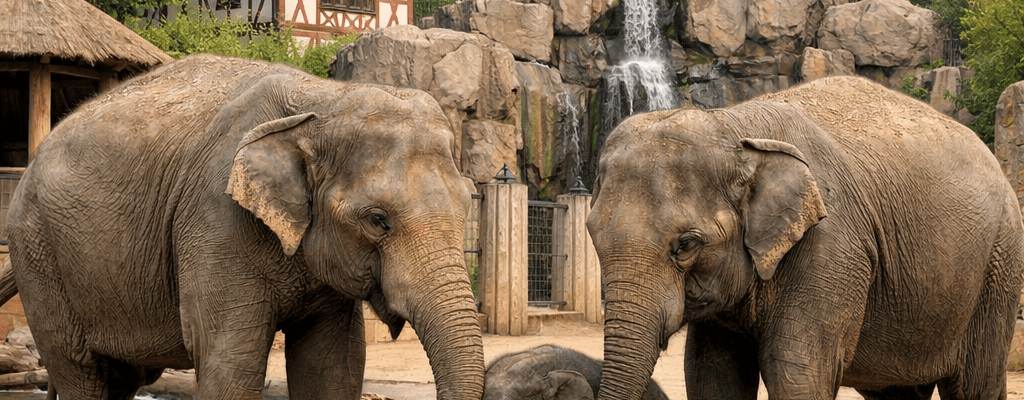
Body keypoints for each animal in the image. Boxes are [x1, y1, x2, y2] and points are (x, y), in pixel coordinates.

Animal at [2, 54, 484, 400]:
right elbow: (230, 364)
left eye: (467, 206)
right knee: (82, 372)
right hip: (39, 254)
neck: (323, 100)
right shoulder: (214, 220)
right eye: (377, 221)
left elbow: (332, 368)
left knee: (121, 378)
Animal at [587, 76, 1024, 400]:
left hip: (997, 268)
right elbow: (710, 372)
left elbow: (796, 371)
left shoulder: (832, 248)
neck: (734, 126)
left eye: (686, 245)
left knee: (975, 384)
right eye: (592, 235)